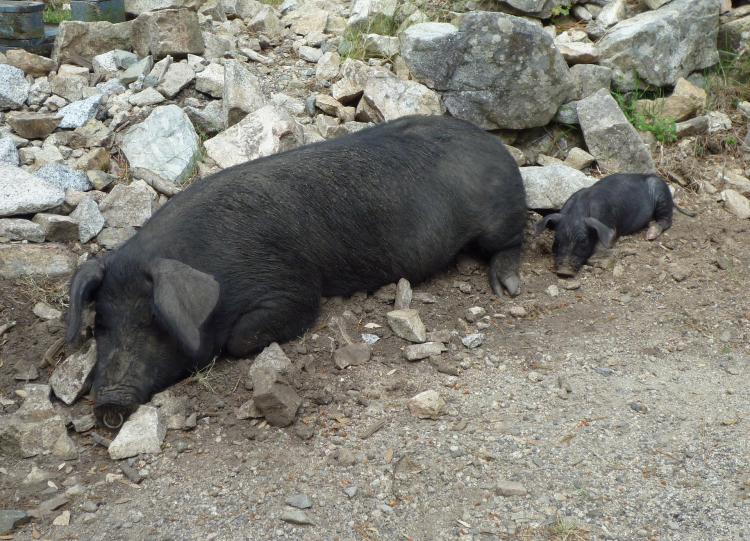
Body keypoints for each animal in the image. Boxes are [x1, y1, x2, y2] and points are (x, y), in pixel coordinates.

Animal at [69, 114, 528, 426]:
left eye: (155, 322)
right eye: (101, 324)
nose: (108, 401)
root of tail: (496, 146)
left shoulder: (291, 288)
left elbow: (243, 337)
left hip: (499, 220)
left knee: (513, 241)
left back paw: (506, 288)